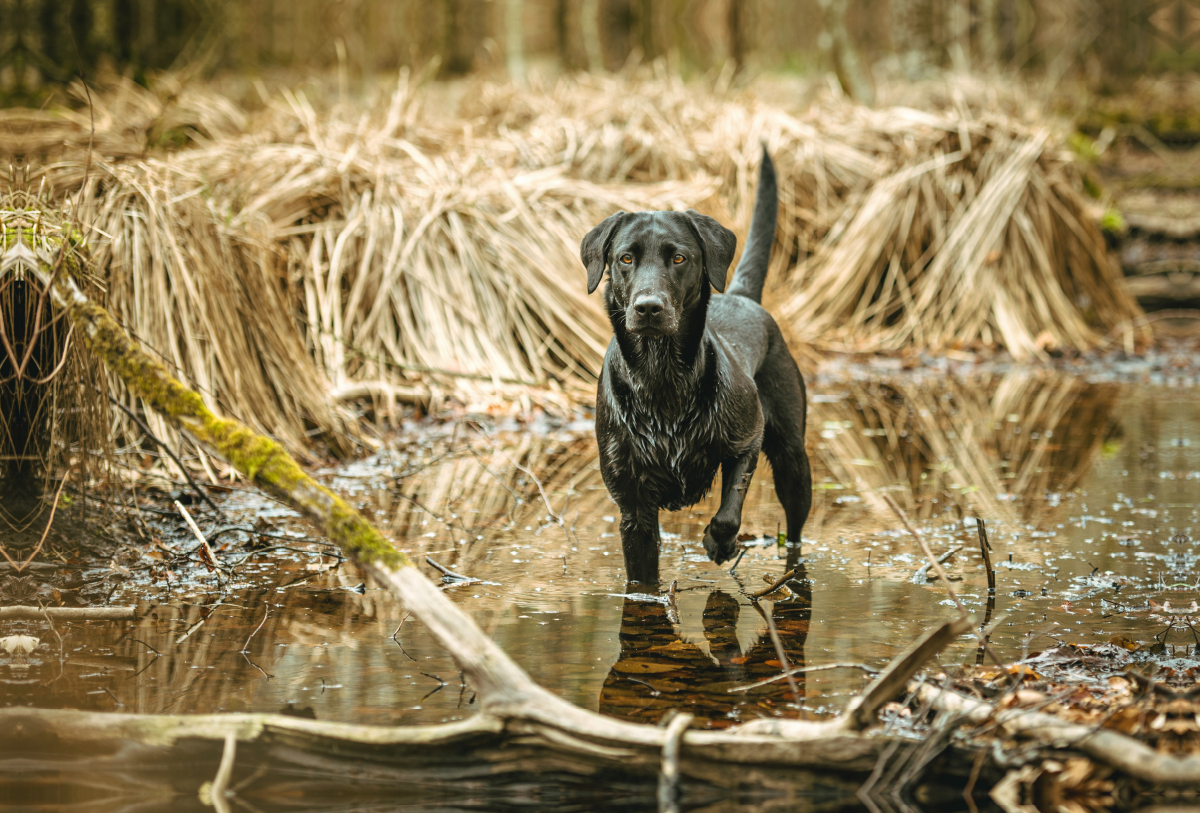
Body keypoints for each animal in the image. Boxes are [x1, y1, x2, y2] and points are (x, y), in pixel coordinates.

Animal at [583, 149, 816, 585]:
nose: (648, 307)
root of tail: (742, 295)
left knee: (794, 531)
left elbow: (729, 510)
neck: (660, 380)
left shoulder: (748, 439)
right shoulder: (633, 508)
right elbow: (642, 579)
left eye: (678, 257)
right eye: (625, 258)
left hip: (793, 460)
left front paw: (719, 543)